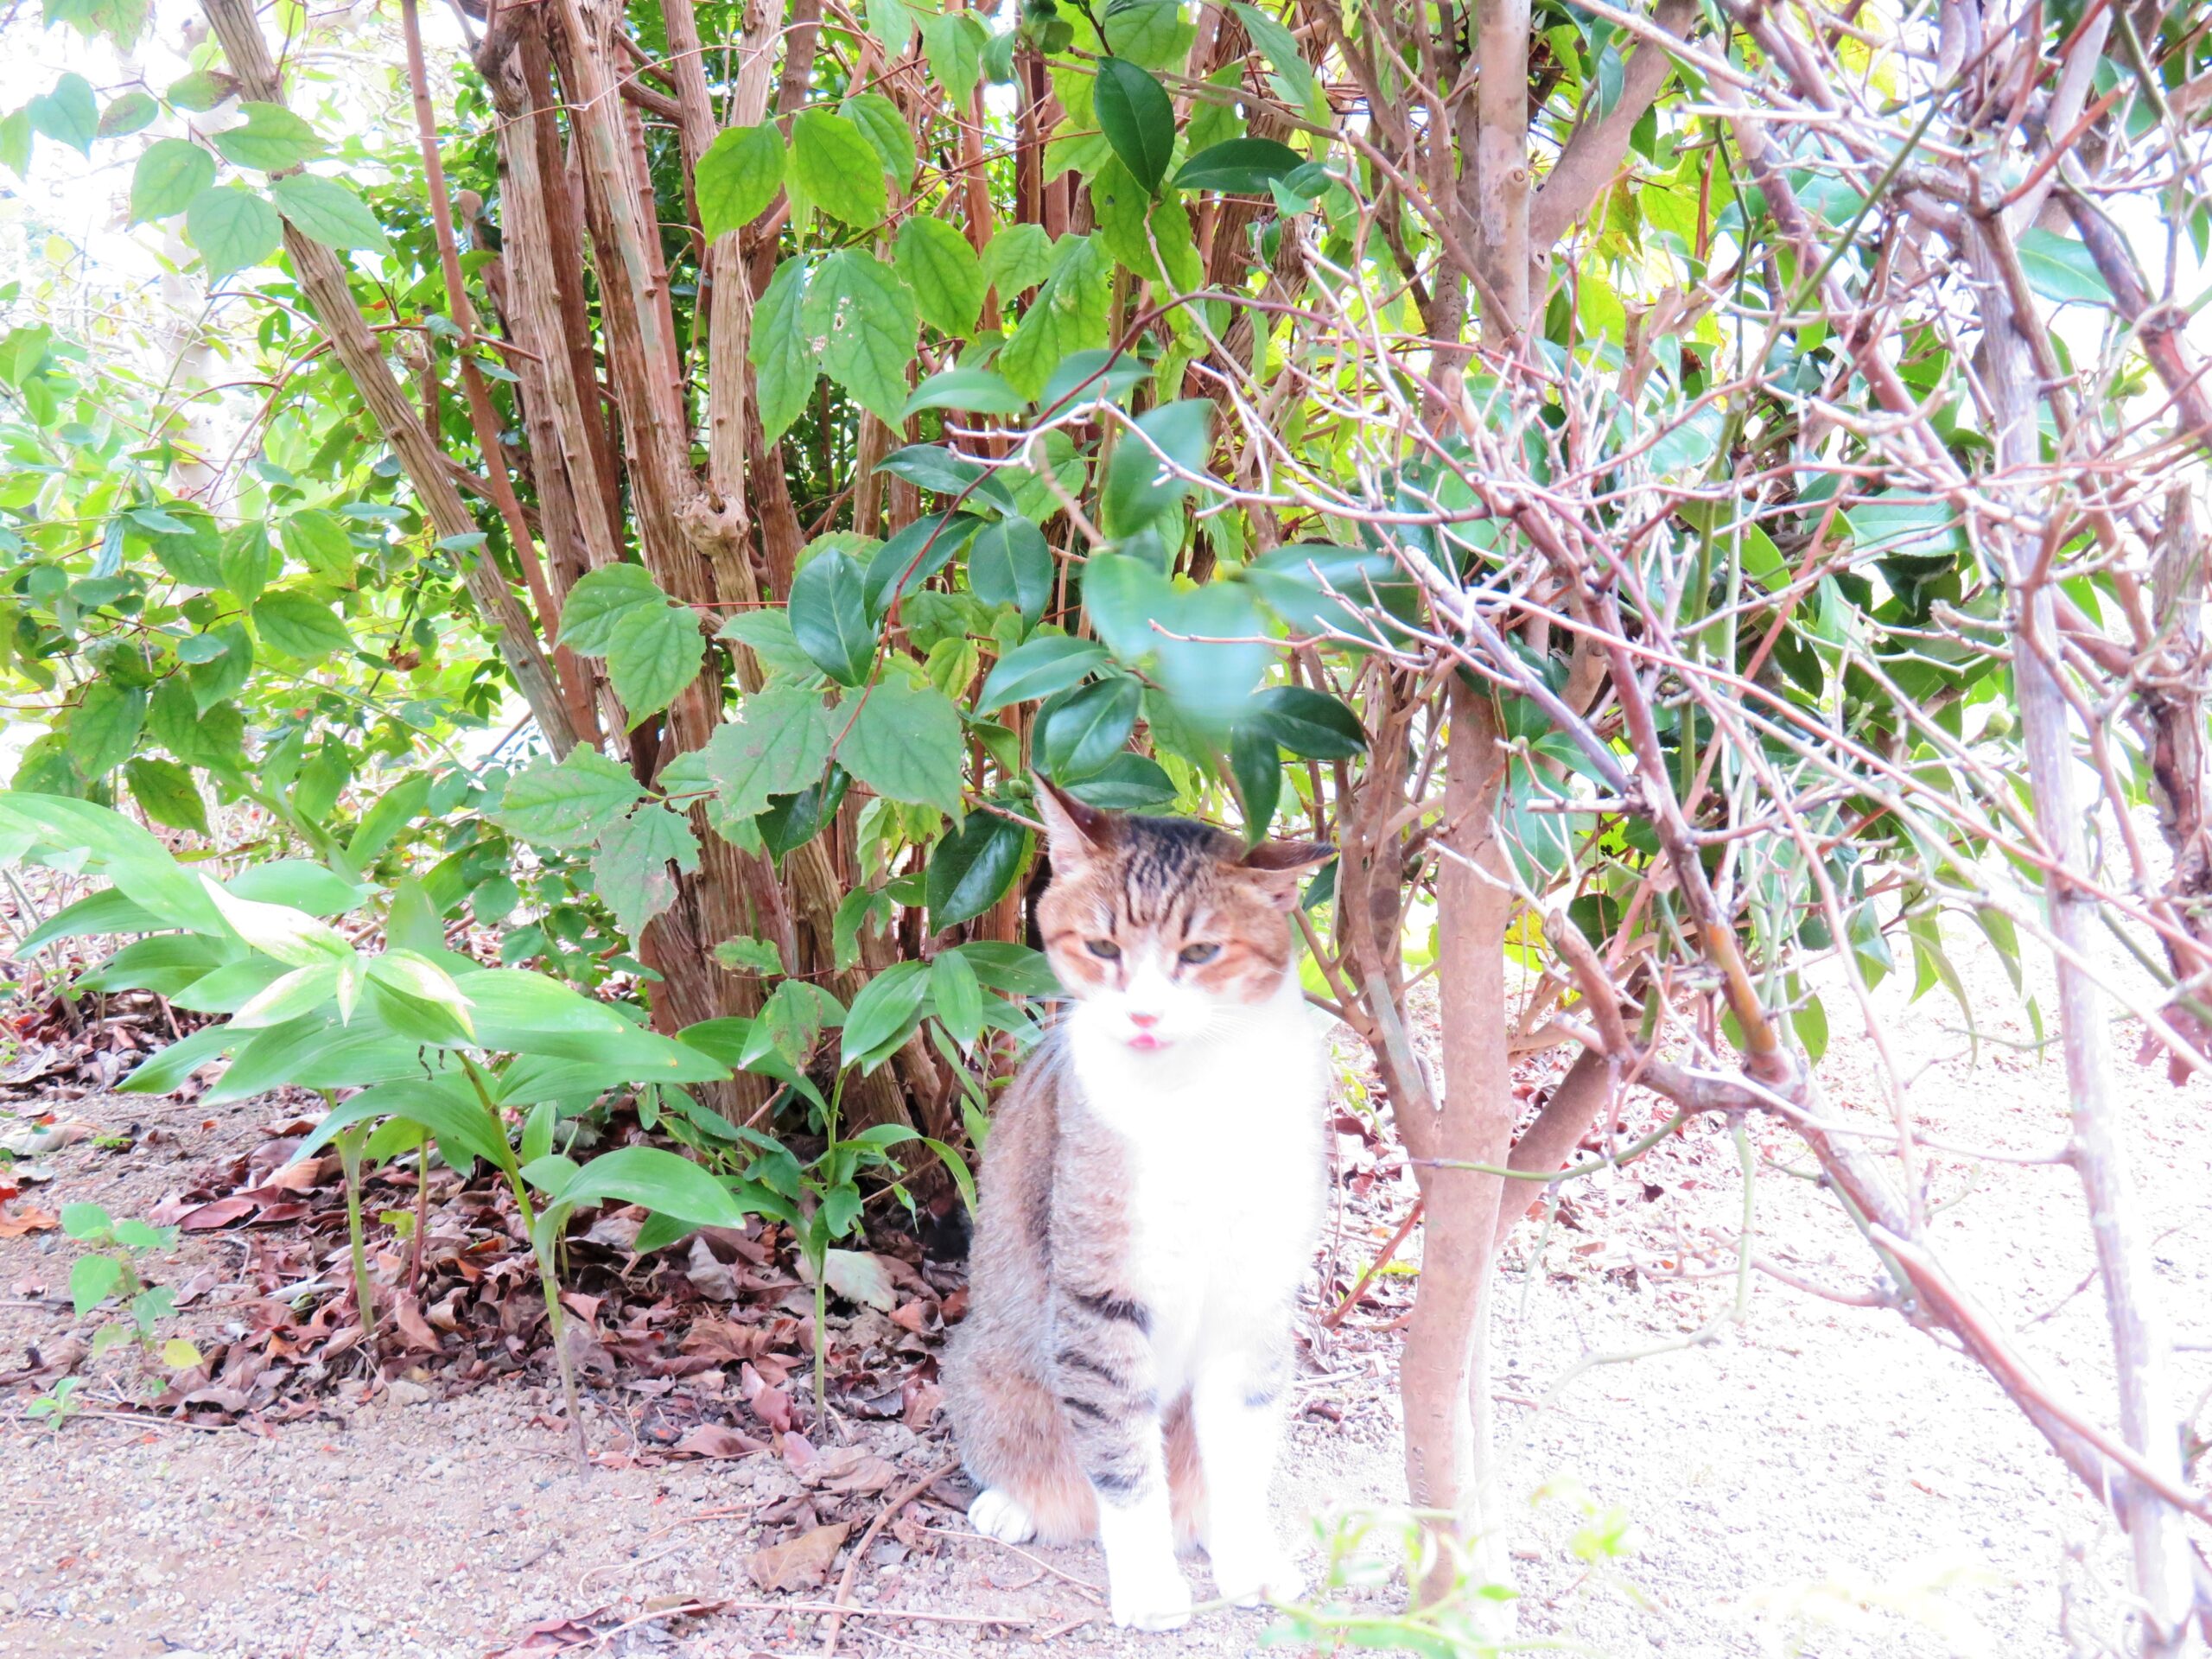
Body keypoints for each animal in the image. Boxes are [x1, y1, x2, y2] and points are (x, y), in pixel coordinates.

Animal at [938, 779, 1327, 1637]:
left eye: (1202, 954)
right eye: (1104, 947)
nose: (1145, 1015)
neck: (1191, 1096)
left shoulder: (1253, 1293)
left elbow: (1238, 1451)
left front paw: (1247, 1559)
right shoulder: (1100, 1295)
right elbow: (1121, 1456)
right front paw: (1148, 1582)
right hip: (985, 1368)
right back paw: (1017, 1505)